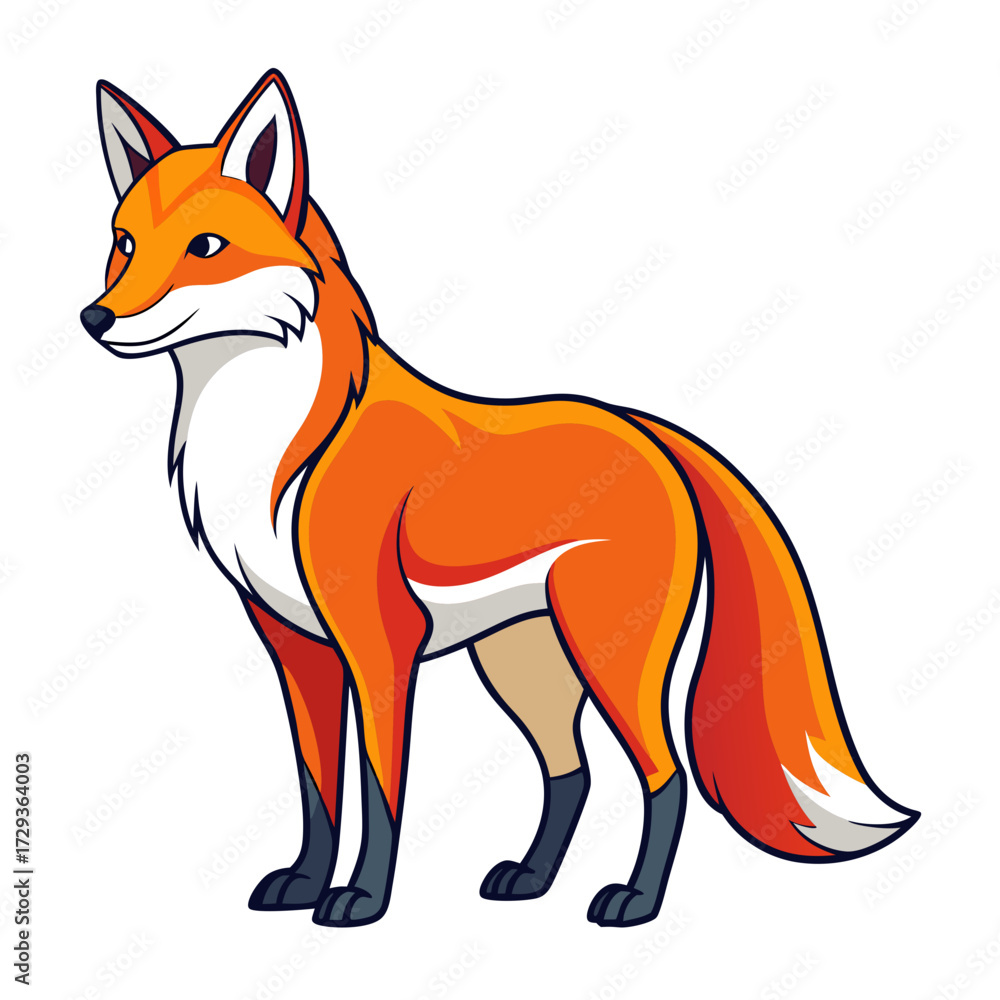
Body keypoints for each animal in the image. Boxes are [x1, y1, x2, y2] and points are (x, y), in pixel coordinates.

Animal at [81, 69, 918, 928]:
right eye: (123, 243)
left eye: (206, 248)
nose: (93, 317)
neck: (273, 449)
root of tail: (647, 431)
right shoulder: (294, 644)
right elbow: (319, 787)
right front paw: (305, 883)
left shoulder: (379, 644)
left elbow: (379, 786)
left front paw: (362, 899)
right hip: (521, 662)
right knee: (570, 771)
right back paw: (532, 879)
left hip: (609, 657)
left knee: (665, 775)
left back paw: (634, 901)